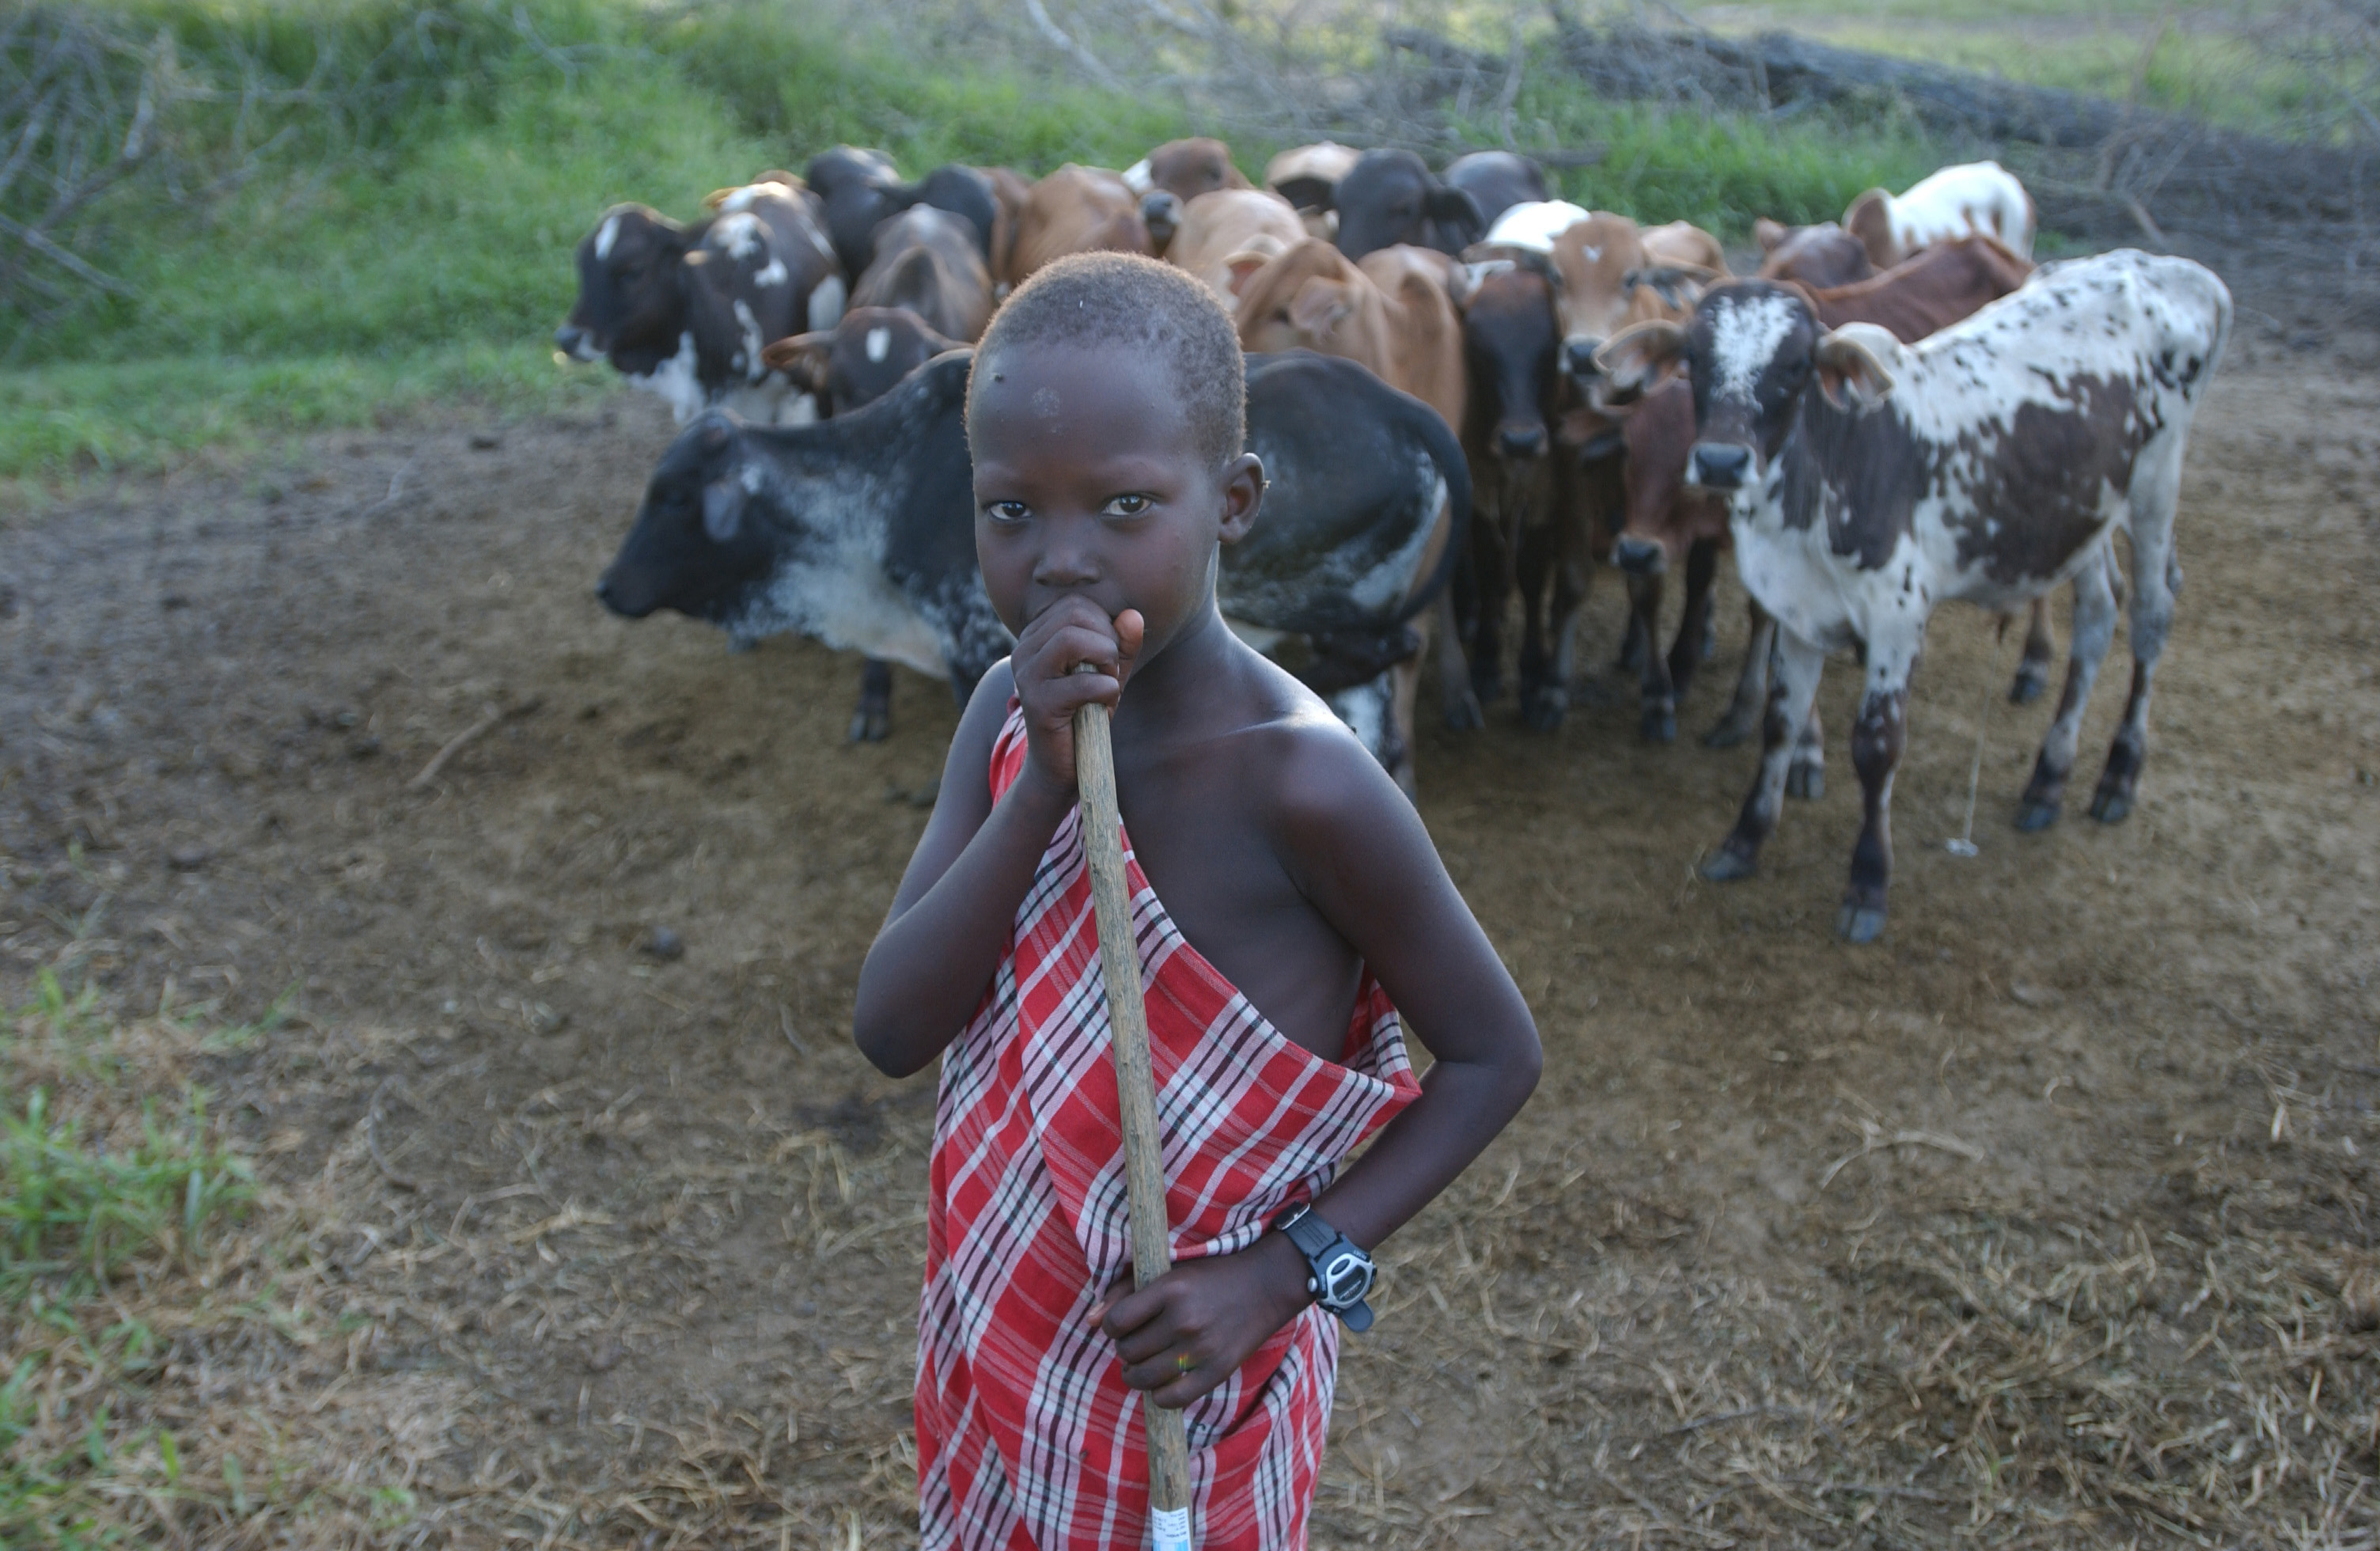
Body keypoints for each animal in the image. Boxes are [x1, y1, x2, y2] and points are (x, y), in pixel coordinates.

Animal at [1599, 248, 2227, 937]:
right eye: (1696, 357)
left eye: (1795, 365)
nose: (1720, 461)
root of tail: (2174, 268)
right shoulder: (1796, 611)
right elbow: (1780, 723)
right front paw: (1745, 841)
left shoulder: (1897, 619)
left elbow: (1877, 747)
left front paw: (1868, 883)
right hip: (2081, 517)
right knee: (2096, 619)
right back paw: (2048, 780)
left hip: (2155, 489)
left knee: (2150, 619)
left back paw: (2119, 774)